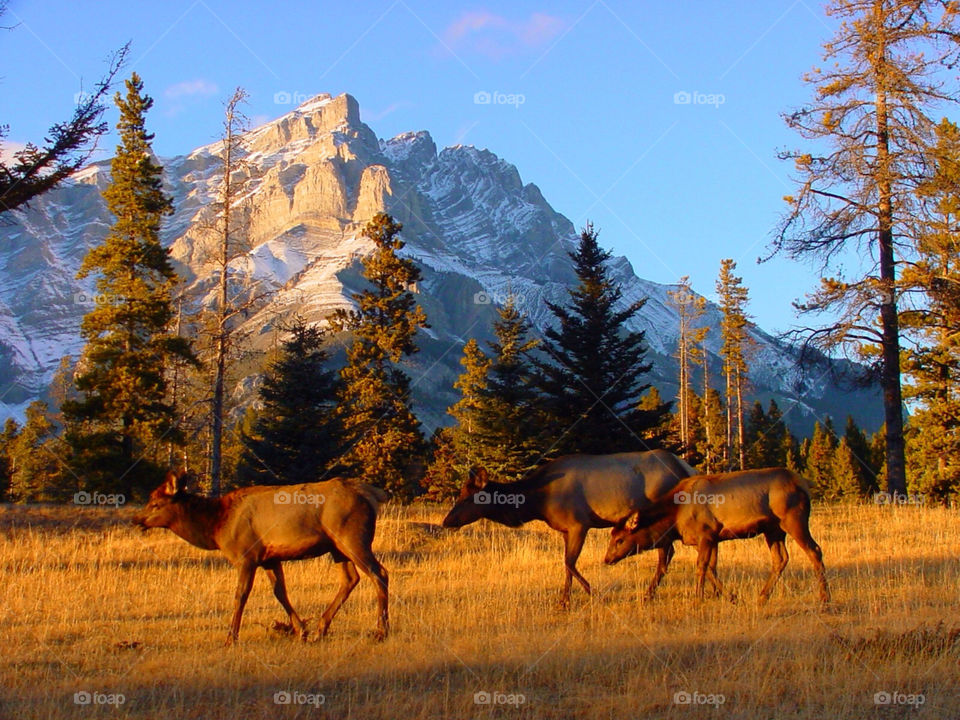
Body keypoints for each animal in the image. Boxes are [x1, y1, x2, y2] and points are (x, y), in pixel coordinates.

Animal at [133, 469, 389, 644]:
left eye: (156, 504)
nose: (136, 519)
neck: (216, 527)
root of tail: (372, 494)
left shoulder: (246, 555)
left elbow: (241, 595)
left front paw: (230, 638)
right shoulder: (269, 558)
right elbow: (280, 592)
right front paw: (301, 630)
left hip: (353, 537)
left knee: (380, 573)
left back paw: (381, 631)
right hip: (337, 548)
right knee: (350, 579)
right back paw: (321, 629)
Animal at [441, 451, 695, 608]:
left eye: (468, 498)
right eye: (460, 494)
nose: (446, 521)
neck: (538, 502)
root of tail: (686, 469)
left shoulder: (578, 524)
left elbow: (569, 563)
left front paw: (594, 595)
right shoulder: (565, 529)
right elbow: (566, 564)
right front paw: (564, 601)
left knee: (666, 554)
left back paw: (648, 595)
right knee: (667, 554)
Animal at [604, 467, 830, 605]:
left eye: (619, 539)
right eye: (611, 536)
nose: (607, 559)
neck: (674, 519)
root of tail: (804, 483)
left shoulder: (706, 534)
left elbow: (701, 567)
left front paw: (698, 598)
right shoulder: (709, 538)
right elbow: (712, 568)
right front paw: (731, 596)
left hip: (793, 519)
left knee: (815, 550)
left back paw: (825, 598)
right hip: (773, 529)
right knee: (781, 558)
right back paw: (762, 597)